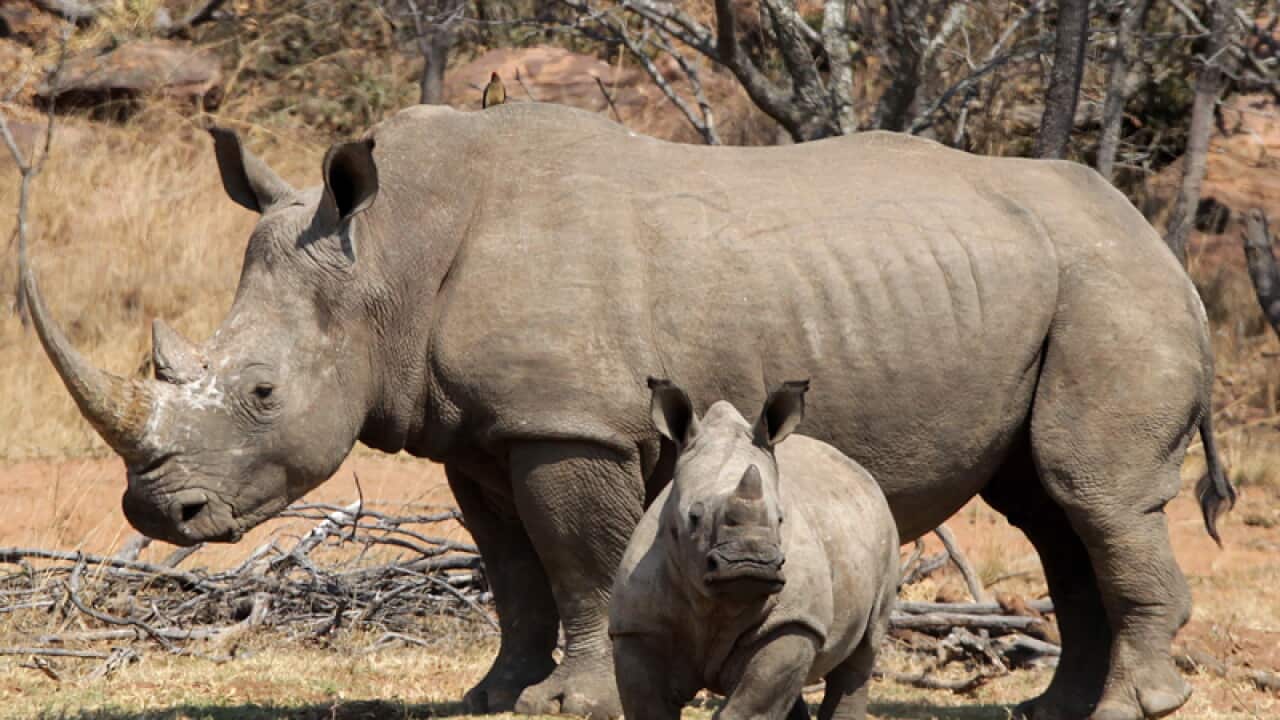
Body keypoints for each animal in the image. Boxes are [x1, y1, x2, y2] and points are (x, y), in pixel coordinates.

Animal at [610, 379, 898, 720]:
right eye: (694, 517)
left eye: (780, 518)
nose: (749, 563)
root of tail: (857, 469)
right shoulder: (636, 626)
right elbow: (648, 706)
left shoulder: (794, 619)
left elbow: (753, 704)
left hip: (885, 530)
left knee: (862, 652)